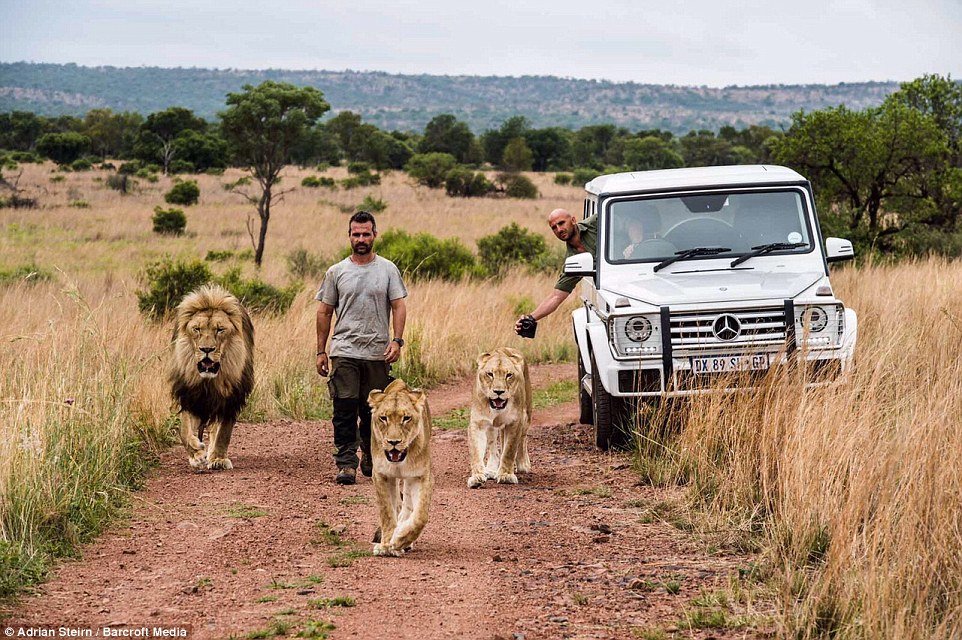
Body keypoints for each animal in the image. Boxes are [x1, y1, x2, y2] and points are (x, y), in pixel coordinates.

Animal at [169, 284, 253, 470]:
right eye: (197, 329)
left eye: (220, 329)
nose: (206, 349)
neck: (208, 382)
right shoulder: (189, 396)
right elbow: (184, 431)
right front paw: (196, 454)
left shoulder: (231, 399)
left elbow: (223, 432)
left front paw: (218, 459)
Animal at [366, 380, 434, 556]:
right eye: (383, 418)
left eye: (406, 418)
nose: (394, 442)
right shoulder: (381, 475)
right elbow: (387, 512)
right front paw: (385, 546)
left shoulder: (422, 475)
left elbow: (420, 516)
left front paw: (399, 541)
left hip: (410, 479)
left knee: (407, 505)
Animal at [466, 348, 532, 488]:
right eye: (490, 374)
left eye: (509, 375)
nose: (498, 391)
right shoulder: (478, 423)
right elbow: (476, 452)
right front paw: (477, 477)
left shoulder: (514, 423)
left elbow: (509, 450)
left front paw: (505, 476)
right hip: (492, 427)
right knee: (492, 446)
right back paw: (491, 470)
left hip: (526, 416)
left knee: (523, 439)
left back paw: (523, 464)